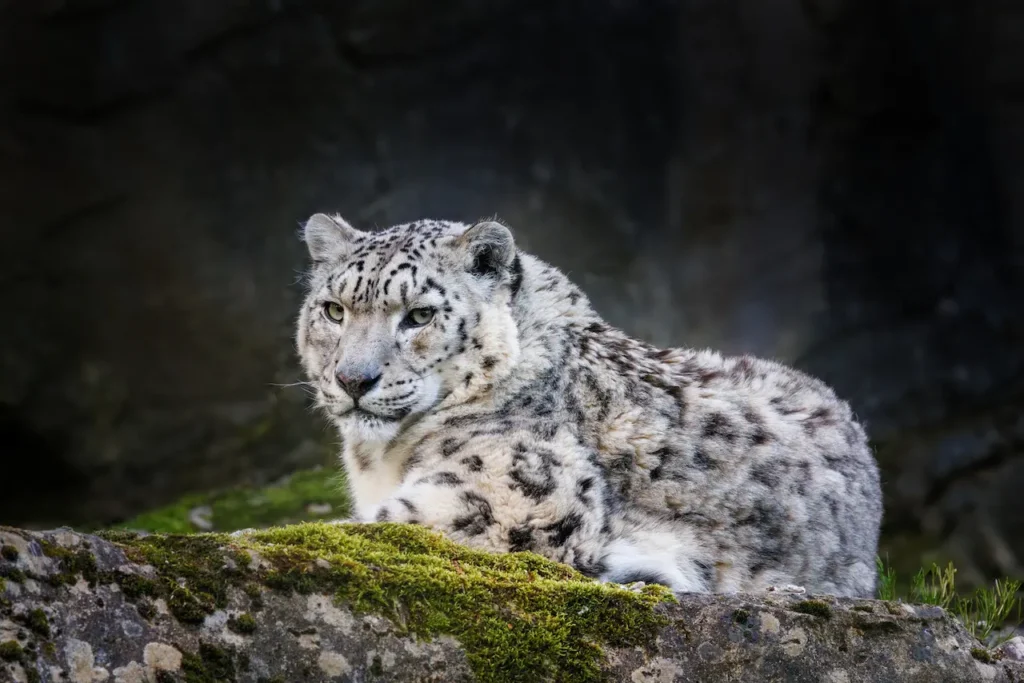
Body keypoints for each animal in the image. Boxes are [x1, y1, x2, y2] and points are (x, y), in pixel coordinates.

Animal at [294, 214, 880, 598]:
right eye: (334, 310)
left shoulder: (504, 498)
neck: (380, 459)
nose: (353, 379)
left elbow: (377, 526)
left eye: (419, 315)